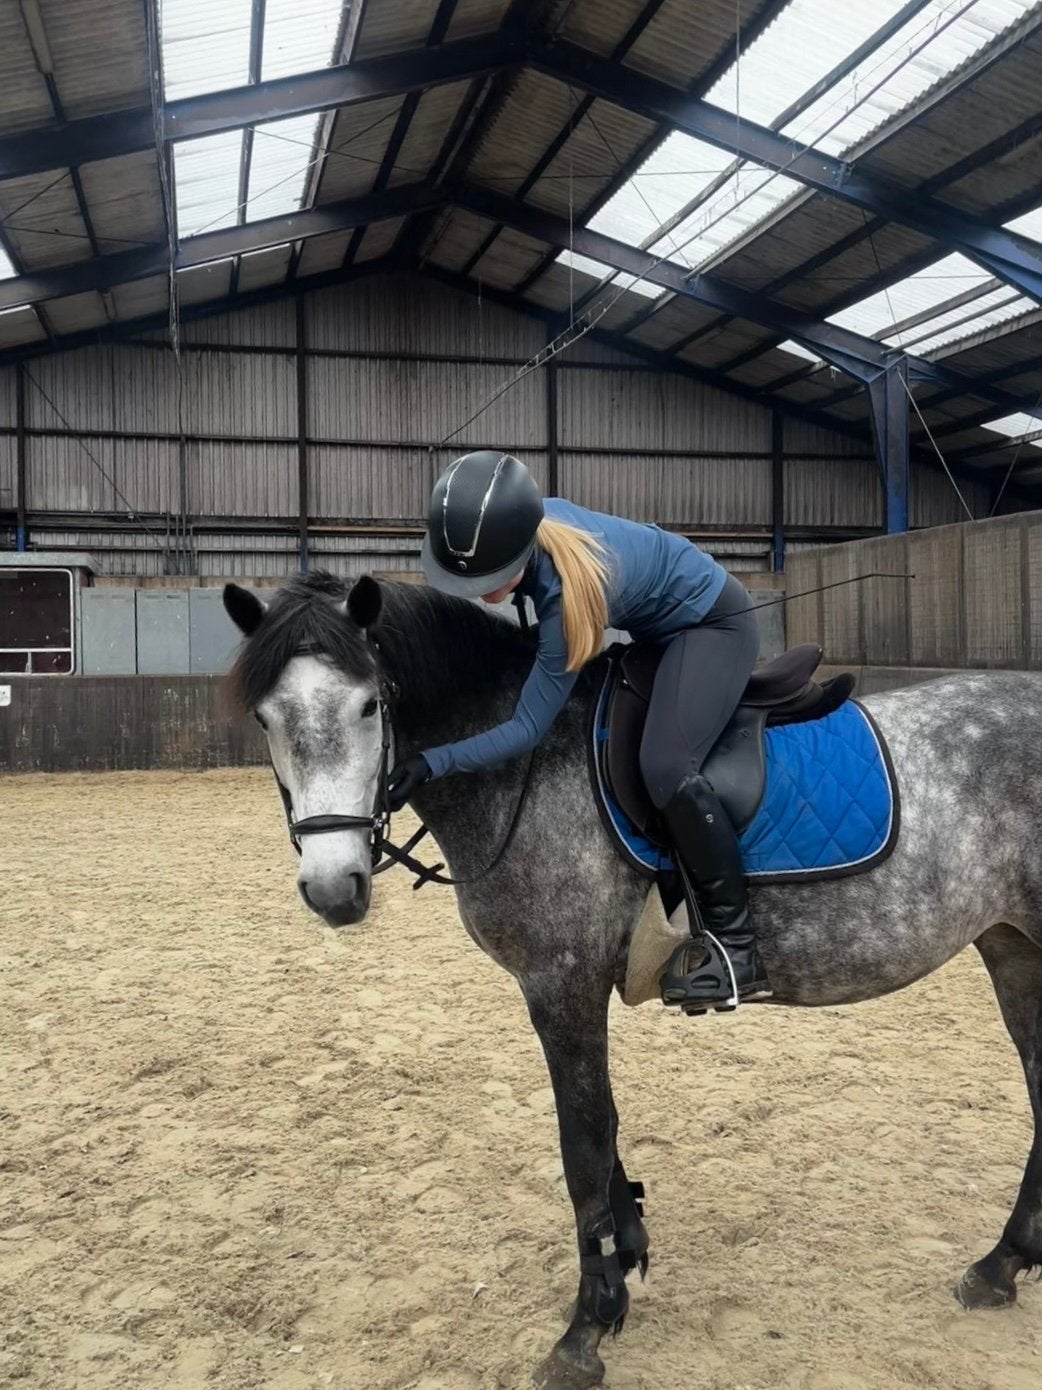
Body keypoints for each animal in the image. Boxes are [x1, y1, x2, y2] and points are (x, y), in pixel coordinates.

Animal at [222, 569, 1042, 1390]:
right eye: (265, 718)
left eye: (368, 705)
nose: (334, 889)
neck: (526, 763)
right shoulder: (568, 990)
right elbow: (605, 1131)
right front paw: (627, 1260)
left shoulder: (561, 984)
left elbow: (583, 1143)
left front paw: (586, 1327)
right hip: (1012, 945)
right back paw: (1001, 1264)